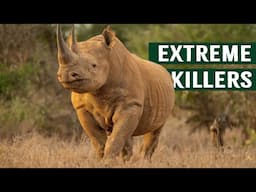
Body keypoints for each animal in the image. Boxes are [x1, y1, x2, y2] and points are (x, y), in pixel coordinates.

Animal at [56, 25, 175, 160]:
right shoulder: (82, 108)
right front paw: (101, 160)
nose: (66, 74)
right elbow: (99, 142)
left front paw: (108, 162)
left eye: (94, 65)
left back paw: (144, 161)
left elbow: (114, 140)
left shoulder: (131, 104)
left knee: (154, 131)